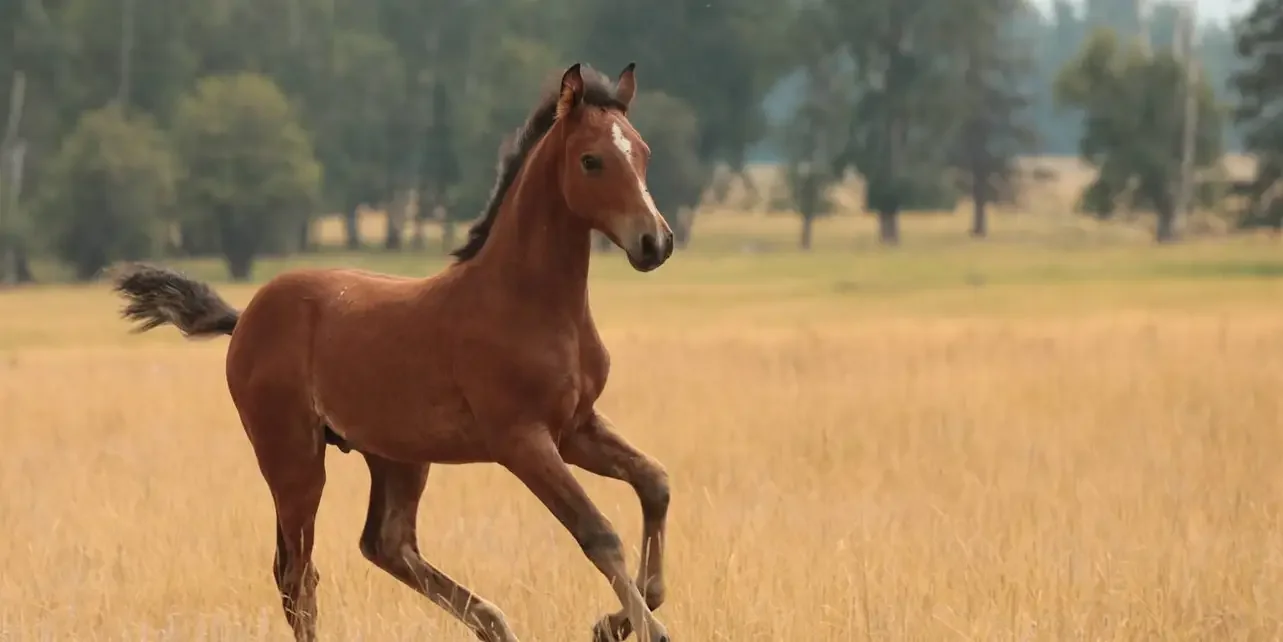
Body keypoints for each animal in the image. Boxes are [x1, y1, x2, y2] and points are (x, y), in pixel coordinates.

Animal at [109, 62, 675, 642]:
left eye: (644, 151)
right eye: (591, 160)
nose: (655, 242)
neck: (529, 302)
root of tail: (245, 317)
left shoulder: (575, 427)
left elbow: (655, 483)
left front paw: (615, 621)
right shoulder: (523, 440)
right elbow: (598, 532)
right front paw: (642, 627)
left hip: (396, 455)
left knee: (385, 543)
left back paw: (494, 622)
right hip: (292, 456)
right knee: (298, 575)